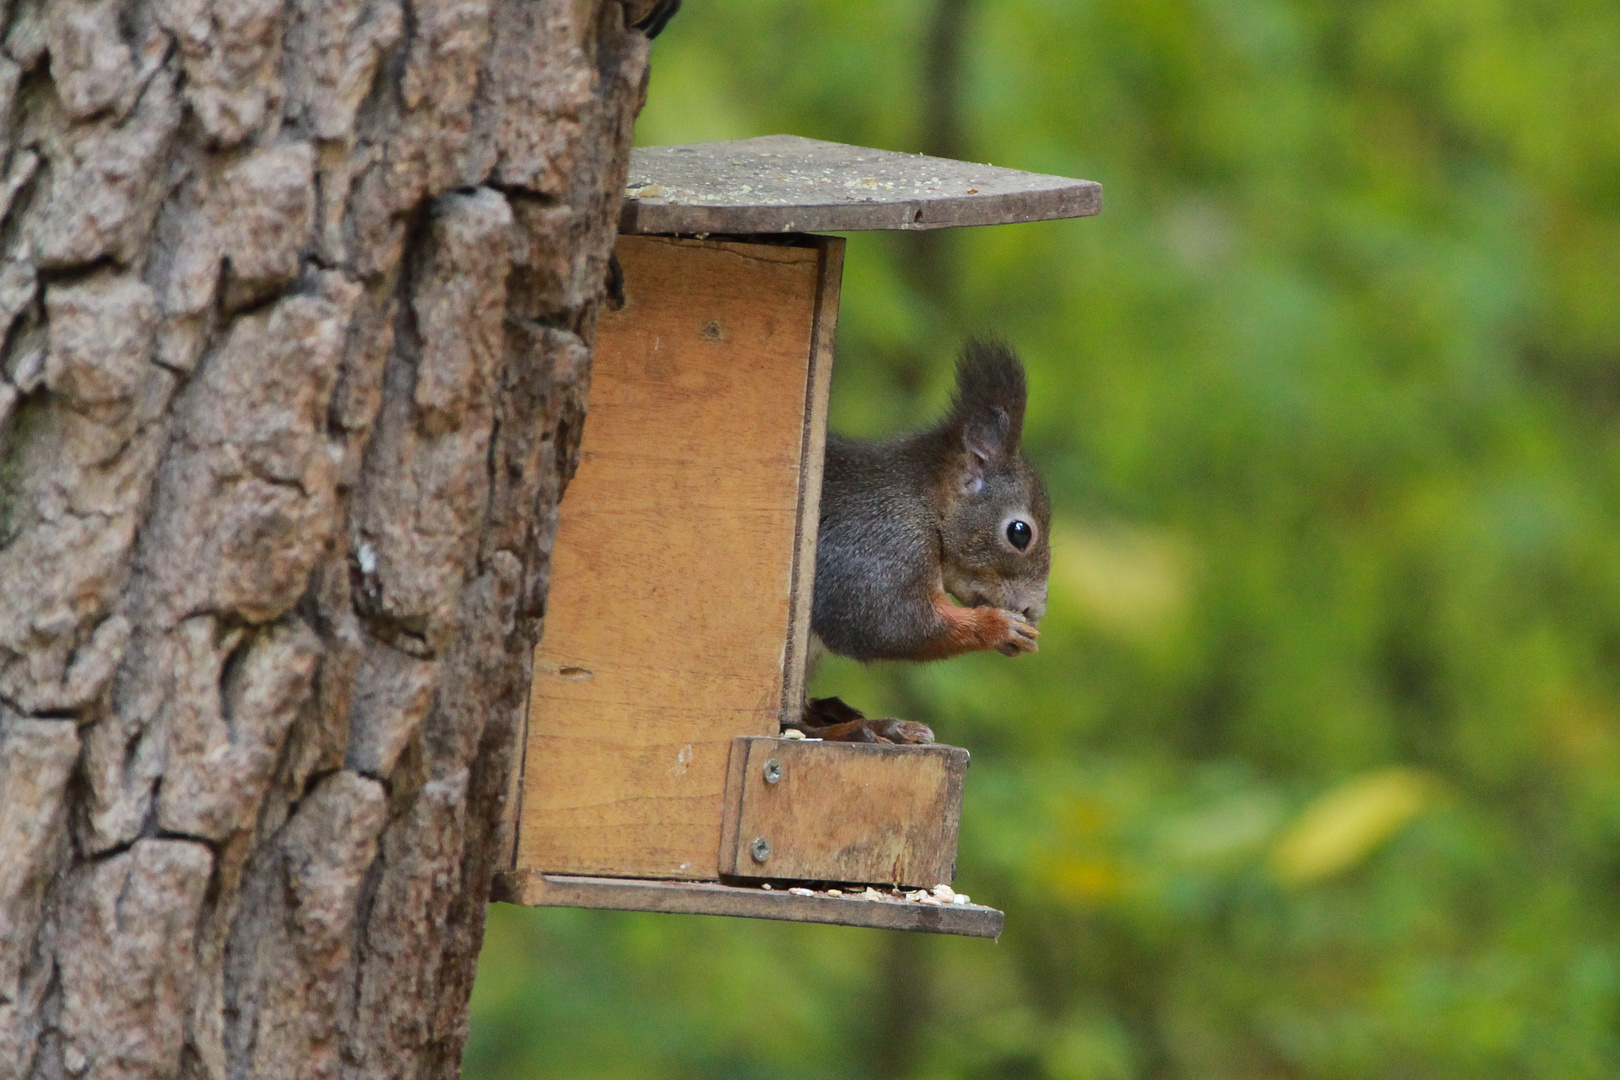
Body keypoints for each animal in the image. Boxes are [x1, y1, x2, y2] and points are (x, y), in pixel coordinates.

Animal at [793, 340, 1049, 744]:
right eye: (1020, 532)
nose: (1034, 610)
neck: (927, 505)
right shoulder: (879, 543)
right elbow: (889, 621)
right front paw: (997, 627)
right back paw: (863, 729)